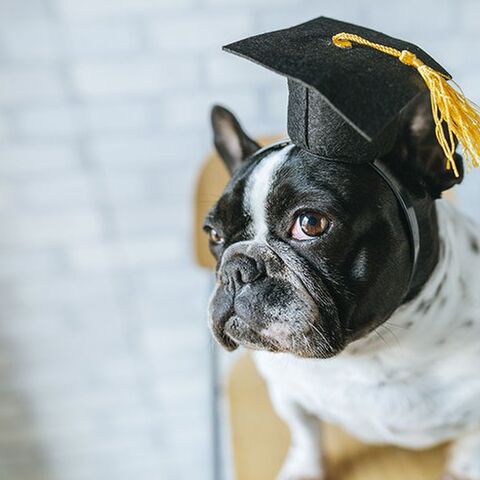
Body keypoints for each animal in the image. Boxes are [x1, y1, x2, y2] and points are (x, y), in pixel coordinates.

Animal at [204, 94, 480, 480]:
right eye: (214, 234)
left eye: (310, 223)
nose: (236, 269)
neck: (369, 355)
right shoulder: (287, 393)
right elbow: (304, 431)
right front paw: (304, 468)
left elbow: (471, 446)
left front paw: (463, 469)